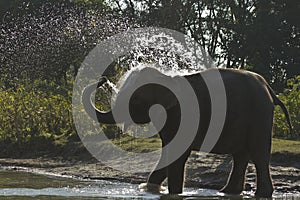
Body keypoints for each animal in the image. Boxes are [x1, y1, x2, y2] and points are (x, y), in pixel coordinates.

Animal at [81, 67, 292, 197]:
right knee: (241, 156)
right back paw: (226, 192)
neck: (165, 78)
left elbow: (177, 154)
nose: (103, 79)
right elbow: (168, 154)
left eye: (134, 101)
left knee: (258, 154)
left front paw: (173, 193)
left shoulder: (182, 115)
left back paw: (261, 194)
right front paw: (150, 189)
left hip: (259, 115)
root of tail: (270, 90)